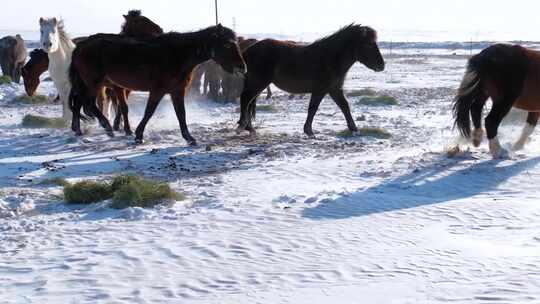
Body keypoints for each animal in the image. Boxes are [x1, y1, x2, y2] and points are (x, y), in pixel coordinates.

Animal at [68, 23, 246, 145]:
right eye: (227, 44)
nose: (242, 67)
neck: (178, 54)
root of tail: (81, 46)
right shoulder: (158, 90)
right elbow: (149, 112)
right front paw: (138, 135)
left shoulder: (177, 91)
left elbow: (181, 114)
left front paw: (189, 138)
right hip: (93, 83)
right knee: (88, 103)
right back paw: (107, 127)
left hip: (88, 84)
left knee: (79, 103)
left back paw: (78, 130)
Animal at [236, 24, 384, 136]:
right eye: (368, 44)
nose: (382, 65)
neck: (330, 57)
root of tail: (247, 51)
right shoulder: (320, 90)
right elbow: (313, 108)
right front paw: (309, 131)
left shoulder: (335, 89)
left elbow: (345, 106)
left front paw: (354, 129)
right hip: (258, 83)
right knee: (245, 99)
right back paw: (244, 126)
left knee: (248, 102)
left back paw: (249, 127)